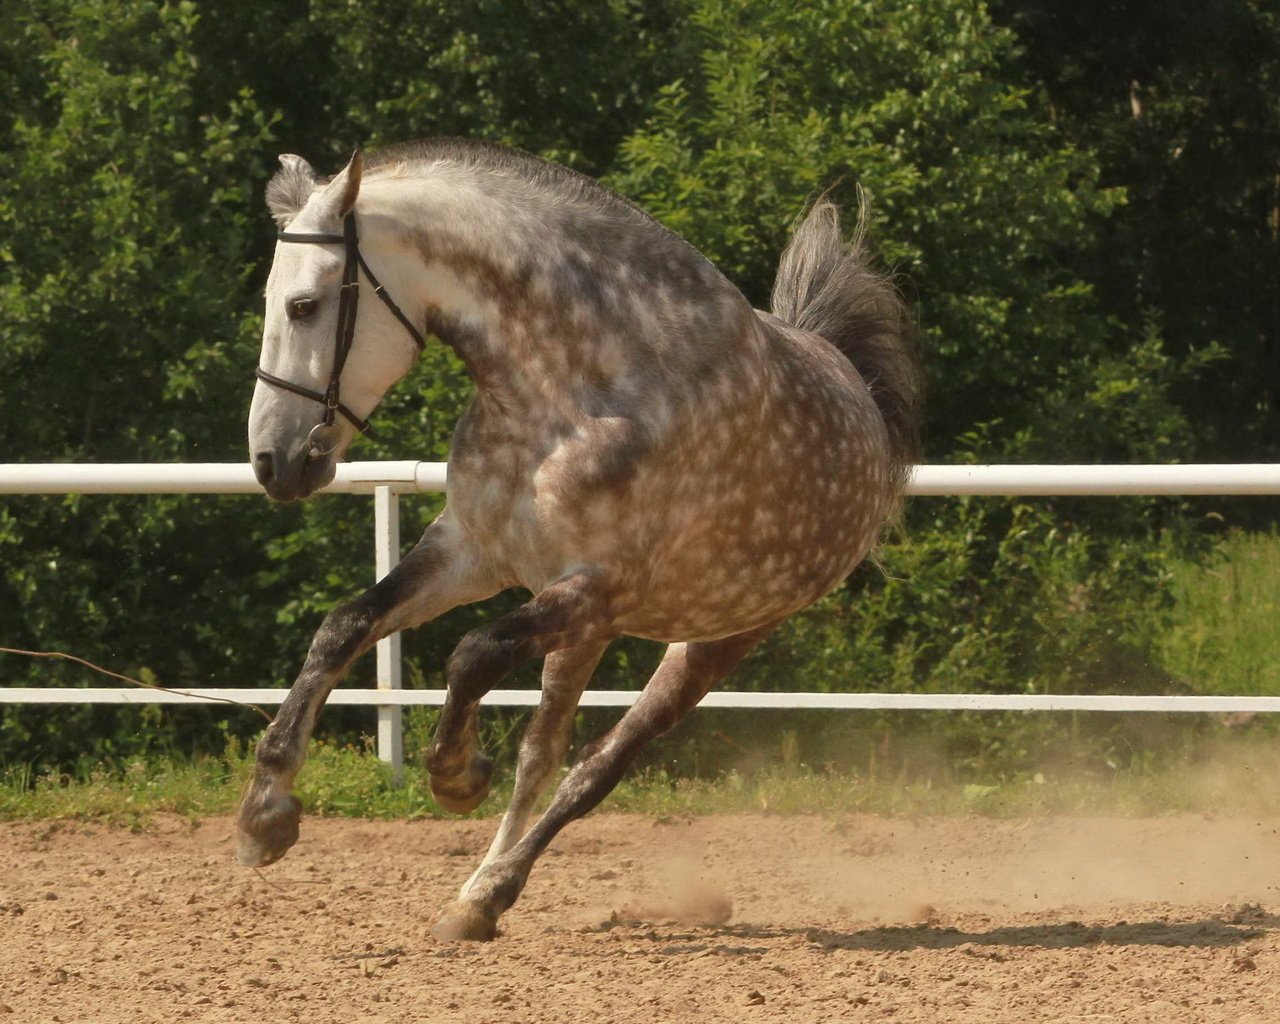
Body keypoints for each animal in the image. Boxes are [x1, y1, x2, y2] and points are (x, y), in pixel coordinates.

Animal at [238, 140, 921, 942]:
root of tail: (854, 387)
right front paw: (265, 815)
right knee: (544, 754)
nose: (274, 463)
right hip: (588, 632)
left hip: (708, 639)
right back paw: (474, 896)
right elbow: (344, 626)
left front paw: (457, 775)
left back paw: (490, 889)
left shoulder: (596, 587)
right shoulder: (471, 551)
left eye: (304, 306)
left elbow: (472, 654)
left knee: (595, 766)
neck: (571, 391)